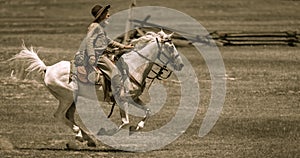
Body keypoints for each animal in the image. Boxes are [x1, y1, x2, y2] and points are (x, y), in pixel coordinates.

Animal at [11, 30, 184, 147]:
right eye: (170, 46)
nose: (181, 64)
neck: (133, 66)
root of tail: (47, 68)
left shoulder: (133, 98)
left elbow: (146, 111)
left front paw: (137, 128)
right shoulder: (122, 99)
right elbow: (124, 122)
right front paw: (106, 132)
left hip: (72, 100)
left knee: (69, 116)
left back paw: (87, 138)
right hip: (67, 98)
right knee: (59, 115)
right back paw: (81, 135)